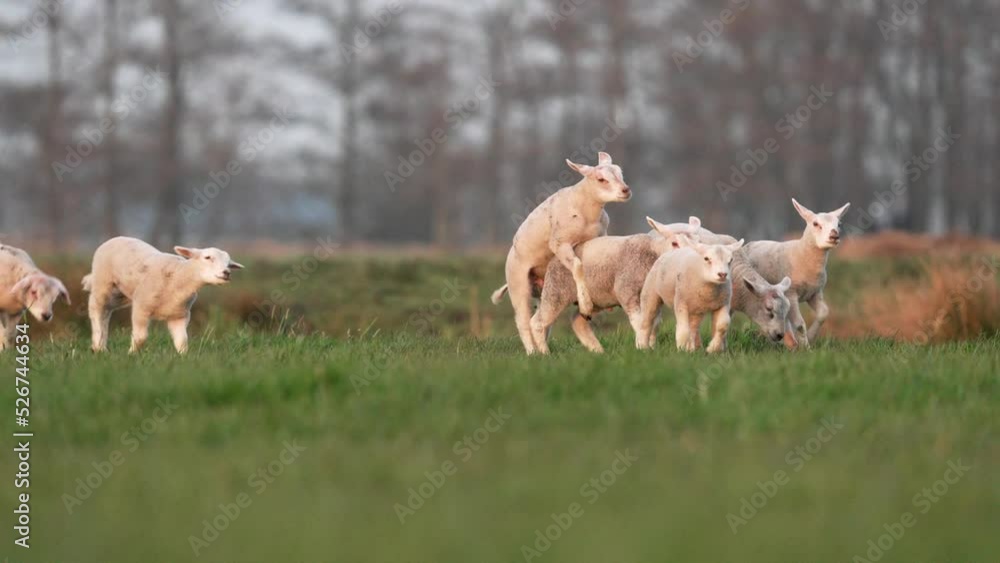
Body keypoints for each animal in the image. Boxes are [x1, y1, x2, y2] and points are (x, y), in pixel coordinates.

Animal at [83, 237, 244, 354]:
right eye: (207, 257)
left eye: (229, 264)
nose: (226, 273)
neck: (179, 276)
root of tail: (115, 238)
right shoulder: (141, 307)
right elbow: (141, 337)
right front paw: (132, 354)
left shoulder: (179, 315)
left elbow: (182, 341)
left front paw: (183, 358)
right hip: (102, 282)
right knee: (97, 309)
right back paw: (98, 346)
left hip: (121, 293)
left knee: (107, 311)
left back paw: (100, 345)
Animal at [491, 152, 632, 354]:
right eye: (601, 179)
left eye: (620, 174)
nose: (626, 190)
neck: (585, 211)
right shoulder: (560, 243)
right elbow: (577, 265)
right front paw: (586, 305)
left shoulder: (599, 236)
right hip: (518, 284)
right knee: (523, 321)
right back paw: (532, 352)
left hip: (544, 291)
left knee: (542, 321)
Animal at [527, 219, 693, 354]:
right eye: (674, 243)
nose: (685, 258)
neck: (653, 252)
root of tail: (554, 260)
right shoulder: (626, 290)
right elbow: (639, 321)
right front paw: (642, 348)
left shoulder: (651, 297)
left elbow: (653, 322)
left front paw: (650, 346)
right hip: (556, 291)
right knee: (537, 322)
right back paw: (544, 354)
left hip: (594, 299)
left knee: (577, 321)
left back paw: (598, 351)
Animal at [741, 198, 850, 347]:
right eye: (815, 223)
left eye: (839, 224)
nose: (834, 235)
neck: (801, 253)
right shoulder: (791, 292)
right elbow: (799, 324)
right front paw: (806, 347)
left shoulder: (815, 292)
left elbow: (823, 313)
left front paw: (810, 337)